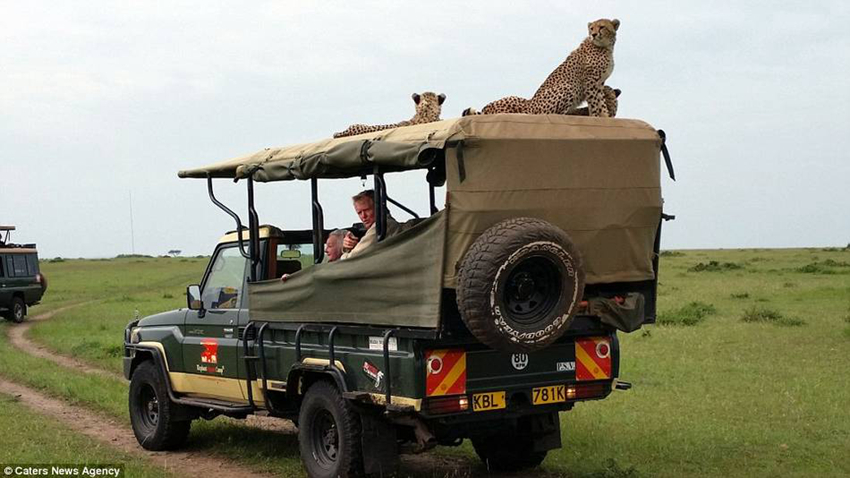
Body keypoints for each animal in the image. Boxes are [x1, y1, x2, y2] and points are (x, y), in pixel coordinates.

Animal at [463, 18, 621, 118]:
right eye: (591, 28)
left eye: (602, 27)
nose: (593, 34)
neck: (606, 47)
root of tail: (530, 106)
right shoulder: (591, 82)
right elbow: (595, 102)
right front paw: (600, 116)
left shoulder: (599, 83)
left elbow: (600, 101)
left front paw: (603, 115)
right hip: (567, 88)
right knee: (552, 114)